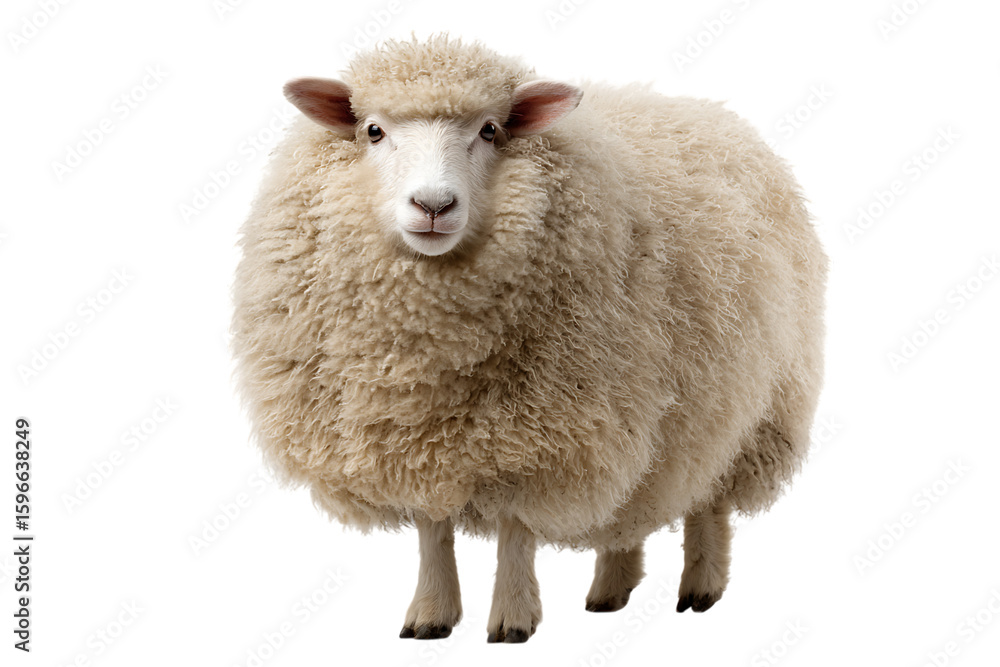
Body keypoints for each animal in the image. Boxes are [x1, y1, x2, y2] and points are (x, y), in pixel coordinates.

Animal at [231, 35, 827, 643]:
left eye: (490, 130)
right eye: (373, 130)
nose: (433, 206)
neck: (429, 349)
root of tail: (711, 112)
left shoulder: (542, 436)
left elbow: (515, 530)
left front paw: (512, 620)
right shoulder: (417, 440)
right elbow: (431, 529)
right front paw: (431, 614)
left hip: (743, 407)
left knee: (708, 500)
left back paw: (700, 587)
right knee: (629, 507)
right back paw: (610, 590)